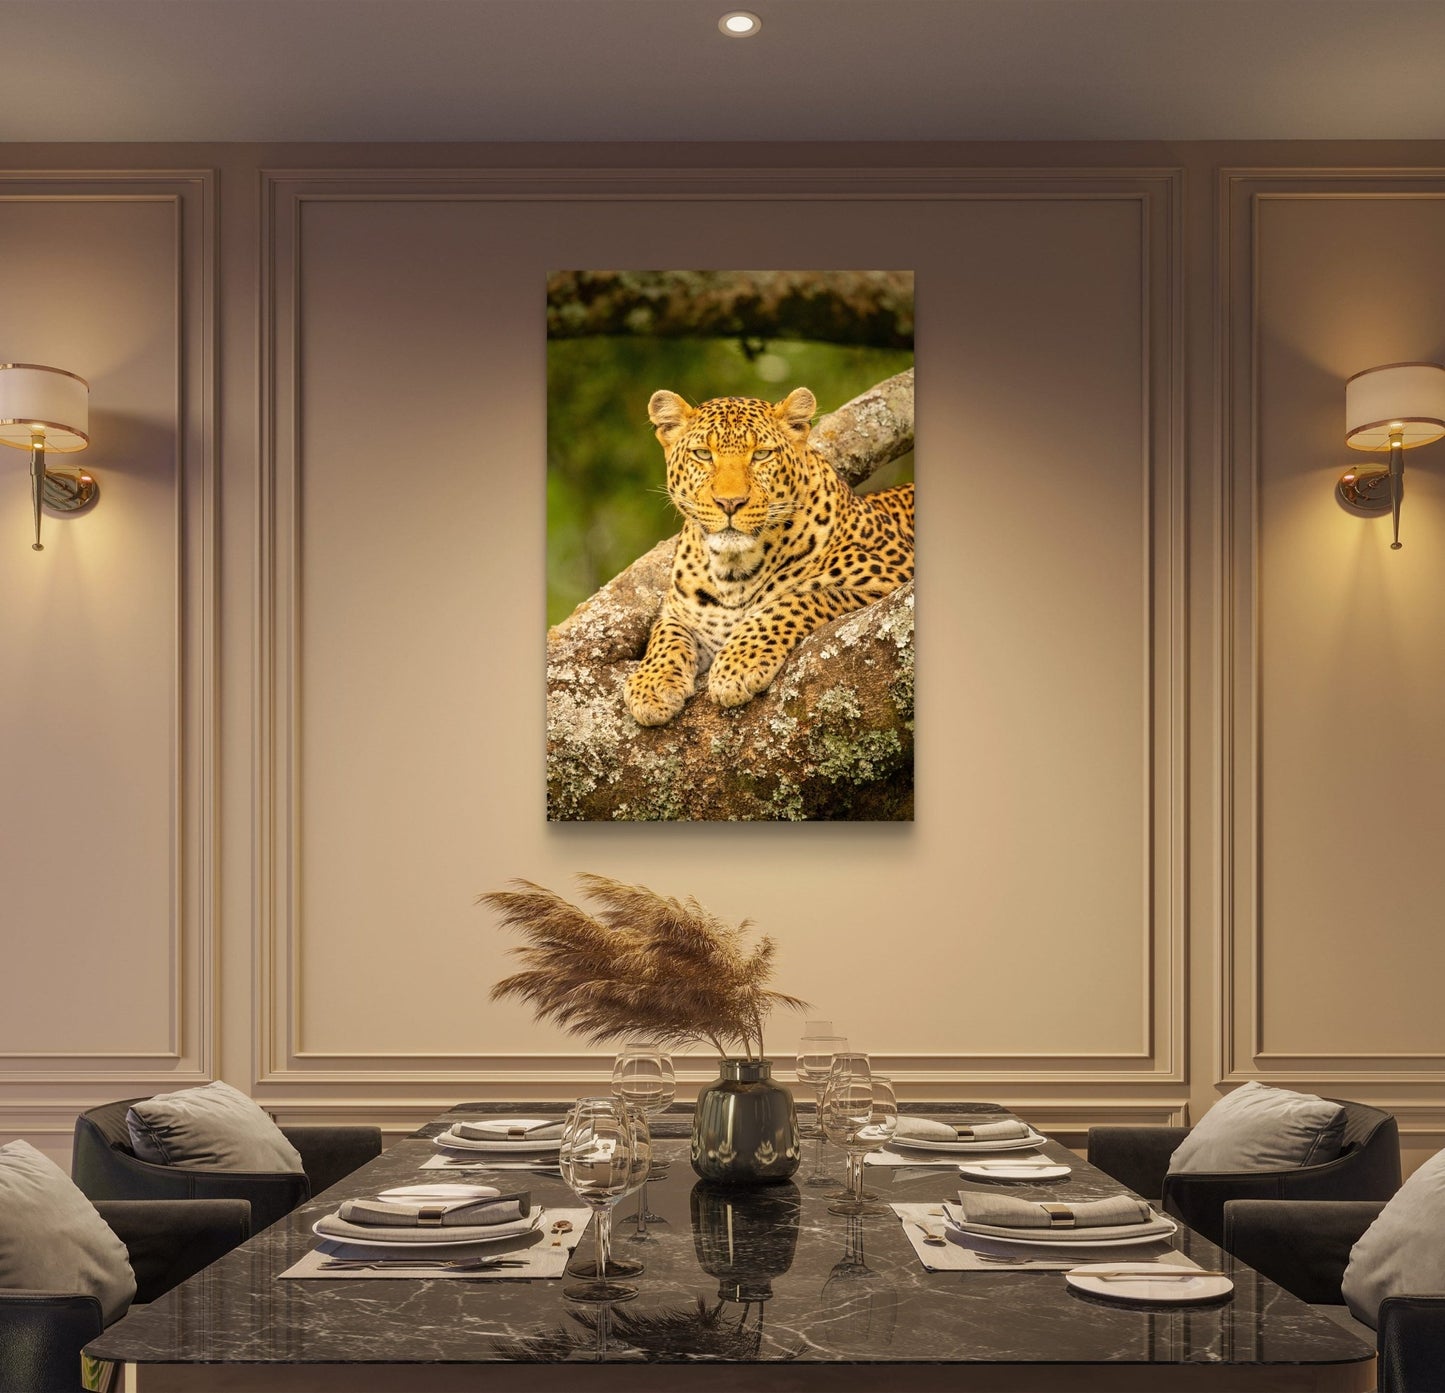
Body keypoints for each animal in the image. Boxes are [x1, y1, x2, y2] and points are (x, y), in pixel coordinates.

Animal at [623, 385, 914, 727]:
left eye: (761, 454)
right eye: (703, 454)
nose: (730, 503)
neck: (732, 570)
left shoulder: (892, 572)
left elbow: (794, 600)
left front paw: (737, 665)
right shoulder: (681, 611)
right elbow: (665, 633)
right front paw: (652, 684)